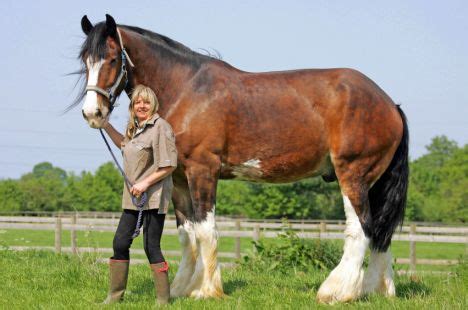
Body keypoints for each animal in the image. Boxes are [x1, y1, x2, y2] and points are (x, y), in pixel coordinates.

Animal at [76, 14, 406, 302]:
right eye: (85, 60)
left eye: (112, 58)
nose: (93, 113)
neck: (186, 89)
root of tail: (390, 104)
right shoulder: (179, 177)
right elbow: (187, 234)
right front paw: (182, 288)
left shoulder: (203, 170)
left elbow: (206, 230)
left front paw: (207, 290)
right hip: (373, 182)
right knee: (380, 231)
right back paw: (377, 291)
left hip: (352, 174)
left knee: (361, 229)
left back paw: (337, 292)